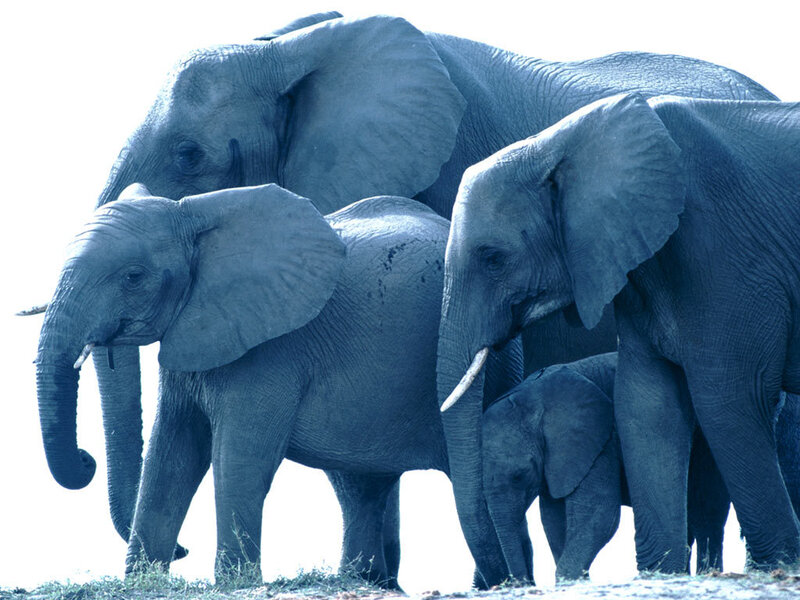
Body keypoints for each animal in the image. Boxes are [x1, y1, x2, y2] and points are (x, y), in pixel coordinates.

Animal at [35, 183, 523, 584]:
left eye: (133, 277)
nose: (86, 460)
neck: (192, 213)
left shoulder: (270, 350)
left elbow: (240, 458)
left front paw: (234, 584)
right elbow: (172, 453)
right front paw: (142, 582)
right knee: (361, 486)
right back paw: (362, 581)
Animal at [482, 352, 731, 582]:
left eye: (520, 475)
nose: (525, 582)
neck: (532, 398)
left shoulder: (599, 437)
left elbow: (599, 512)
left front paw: (571, 579)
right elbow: (554, 520)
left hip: (707, 442)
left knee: (707, 511)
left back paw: (708, 573)